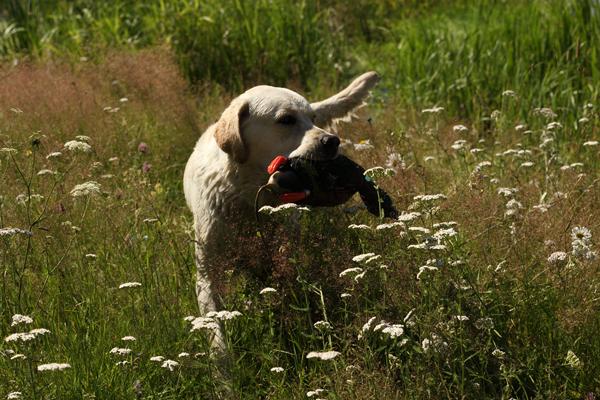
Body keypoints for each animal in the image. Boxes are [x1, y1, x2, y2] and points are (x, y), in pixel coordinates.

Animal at [184, 72, 380, 350]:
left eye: (313, 119)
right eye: (286, 119)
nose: (332, 141)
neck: (248, 193)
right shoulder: (206, 275)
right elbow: (215, 327)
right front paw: (222, 360)